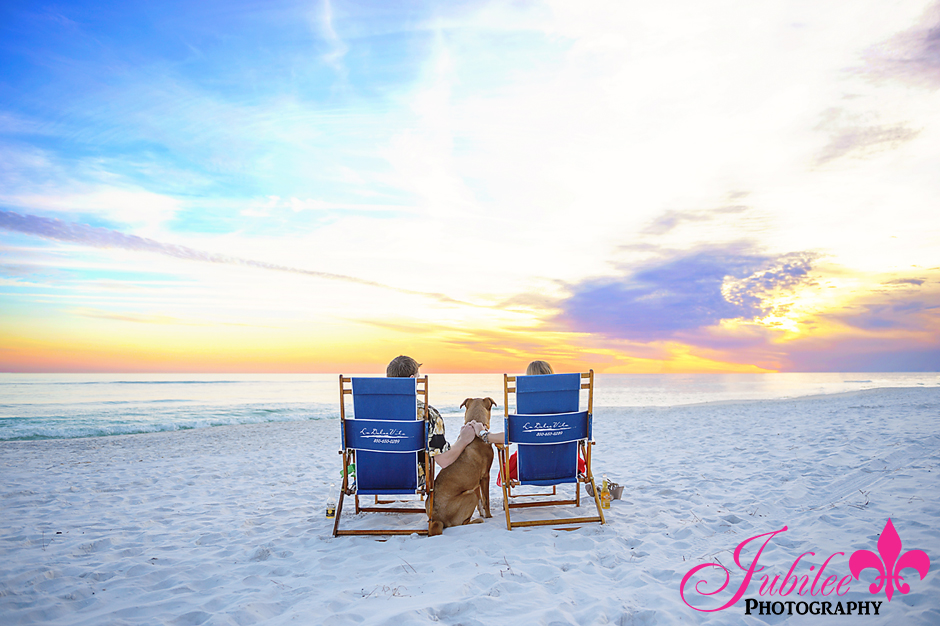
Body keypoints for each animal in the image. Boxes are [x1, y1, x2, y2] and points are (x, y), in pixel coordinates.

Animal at [428, 398, 500, 532]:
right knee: (462, 523)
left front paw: (482, 513)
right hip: (469, 495)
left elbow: (480, 500)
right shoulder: (485, 476)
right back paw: (477, 520)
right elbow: (486, 499)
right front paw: (488, 516)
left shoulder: (475, 481)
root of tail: (437, 519)